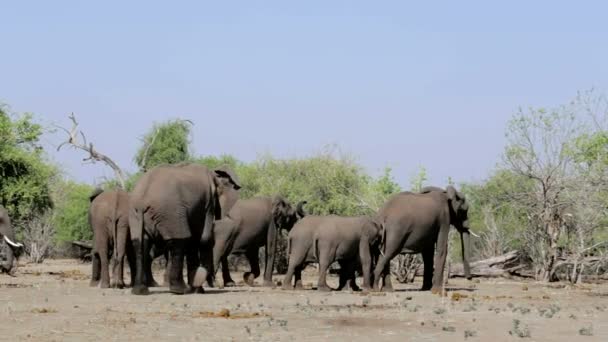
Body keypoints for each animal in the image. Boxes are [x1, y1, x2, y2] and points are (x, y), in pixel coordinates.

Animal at [129, 162, 240, 294]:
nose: (218, 285)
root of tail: (142, 200)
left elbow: (195, 240)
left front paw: (197, 289)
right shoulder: (208, 202)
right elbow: (203, 238)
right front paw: (197, 289)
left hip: (136, 214)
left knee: (140, 243)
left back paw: (140, 291)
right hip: (171, 212)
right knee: (179, 241)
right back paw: (180, 290)